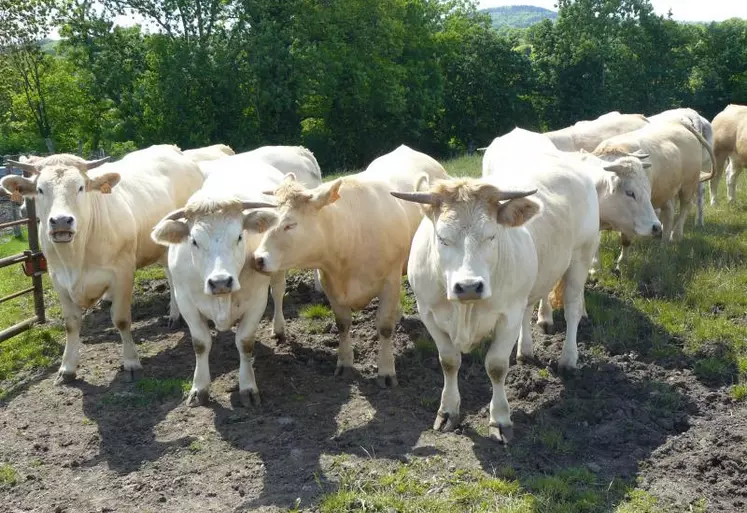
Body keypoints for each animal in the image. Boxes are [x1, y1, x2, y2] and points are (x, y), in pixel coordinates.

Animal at [0, 146, 205, 382]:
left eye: (80, 187)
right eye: (40, 189)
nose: (61, 221)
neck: (75, 258)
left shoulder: (123, 272)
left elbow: (121, 319)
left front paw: (131, 361)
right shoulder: (58, 279)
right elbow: (71, 324)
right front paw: (67, 367)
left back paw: (175, 314)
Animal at [153, 162, 288, 406]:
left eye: (239, 236)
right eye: (194, 241)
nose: (220, 282)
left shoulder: (257, 300)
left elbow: (244, 342)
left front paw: (248, 387)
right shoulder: (185, 301)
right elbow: (200, 343)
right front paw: (199, 388)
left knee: (279, 292)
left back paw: (279, 329)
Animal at [245, 143, 448, 384]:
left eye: (290, 224)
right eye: (267, 221)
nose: (258, 259)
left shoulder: (390, 280)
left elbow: (384, 326)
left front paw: (386, 370)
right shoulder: (330, 283)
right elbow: (343, 323)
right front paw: (345, 363)